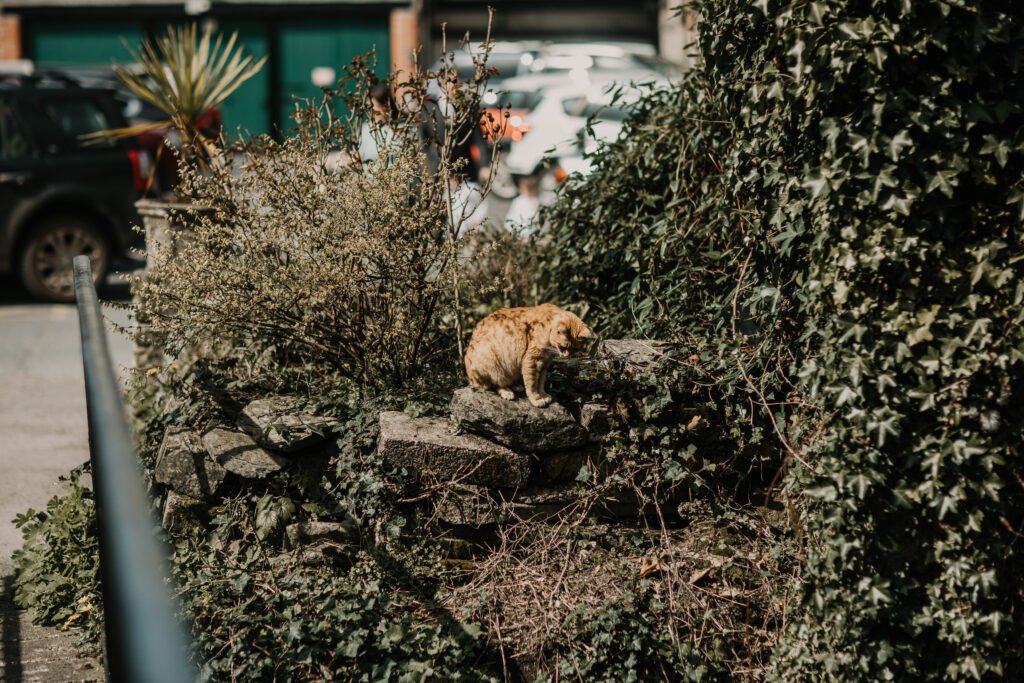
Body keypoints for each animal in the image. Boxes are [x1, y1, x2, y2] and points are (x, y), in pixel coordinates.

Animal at [464, 303, 593, 409]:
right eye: (563, 347)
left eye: (574, 349)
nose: (566, 356)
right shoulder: (532, 360)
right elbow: (532, 383)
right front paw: (536, 399)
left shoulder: (544, 363)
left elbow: (541, 382)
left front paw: (543, 395)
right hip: (492, 361)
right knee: (494, 384)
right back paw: (507, 392)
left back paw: (517, 386)